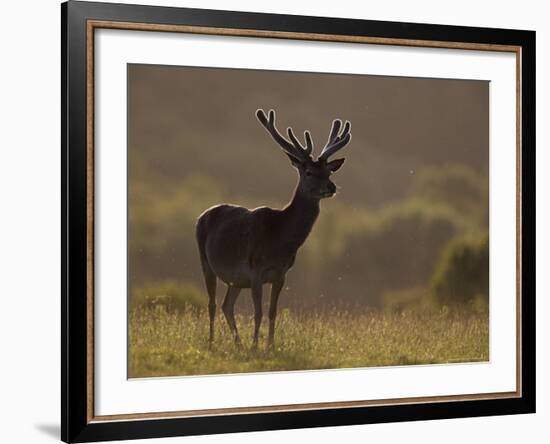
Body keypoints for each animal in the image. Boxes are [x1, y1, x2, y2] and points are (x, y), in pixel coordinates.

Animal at [197, 109, 354, 348]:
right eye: (308, 172)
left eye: (329, 172)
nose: (331, 187)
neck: (280, 242)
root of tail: (203, 215)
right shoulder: (255, 271)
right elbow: (258, 312)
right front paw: (255, 346)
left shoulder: (281, 274)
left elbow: (272, 312)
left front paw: (270, 346)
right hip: (206, 262)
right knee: (212, 304)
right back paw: (213, 342)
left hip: (236, 279)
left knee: (226, 305)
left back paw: (238, 344)